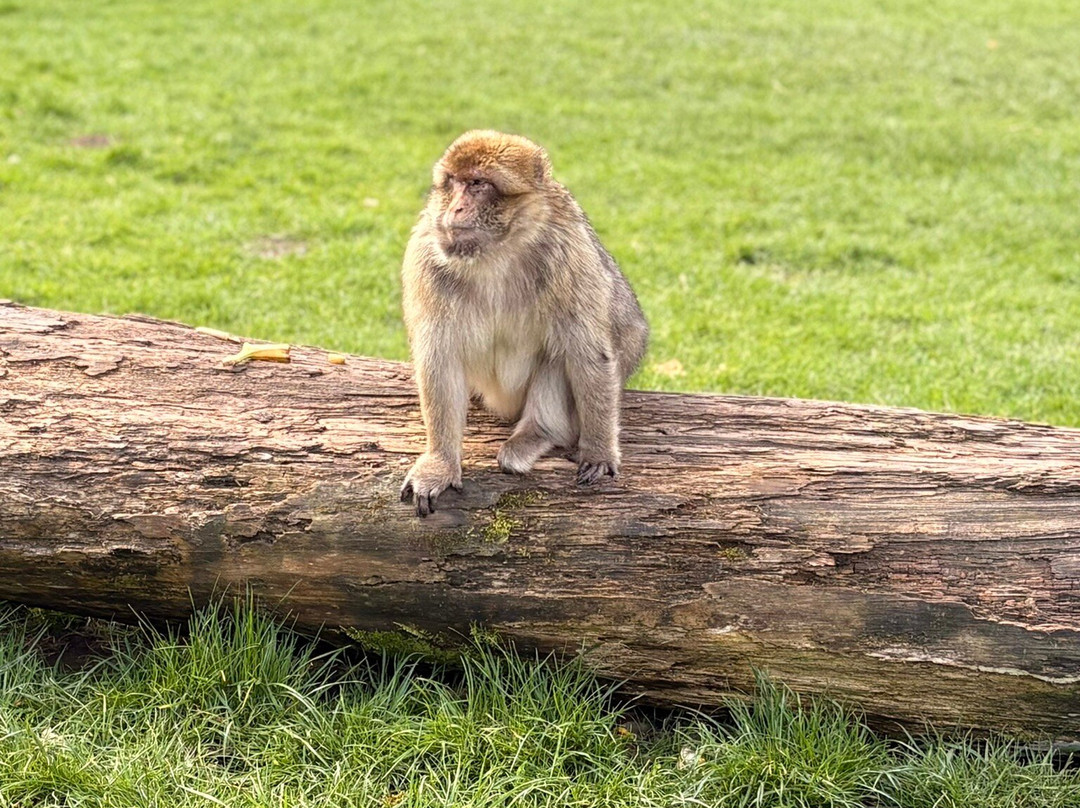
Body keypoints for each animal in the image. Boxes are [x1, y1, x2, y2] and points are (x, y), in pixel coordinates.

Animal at [399, 130, 648, 517]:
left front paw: (599, 450)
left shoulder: (569, 253)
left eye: (478, 185)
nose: (454, 209)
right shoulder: (426, 258)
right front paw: (439, 464)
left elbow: (587, 354)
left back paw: (539, 433)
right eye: (453, 183)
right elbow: (440, 360)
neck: (497, 254)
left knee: (560, 354)